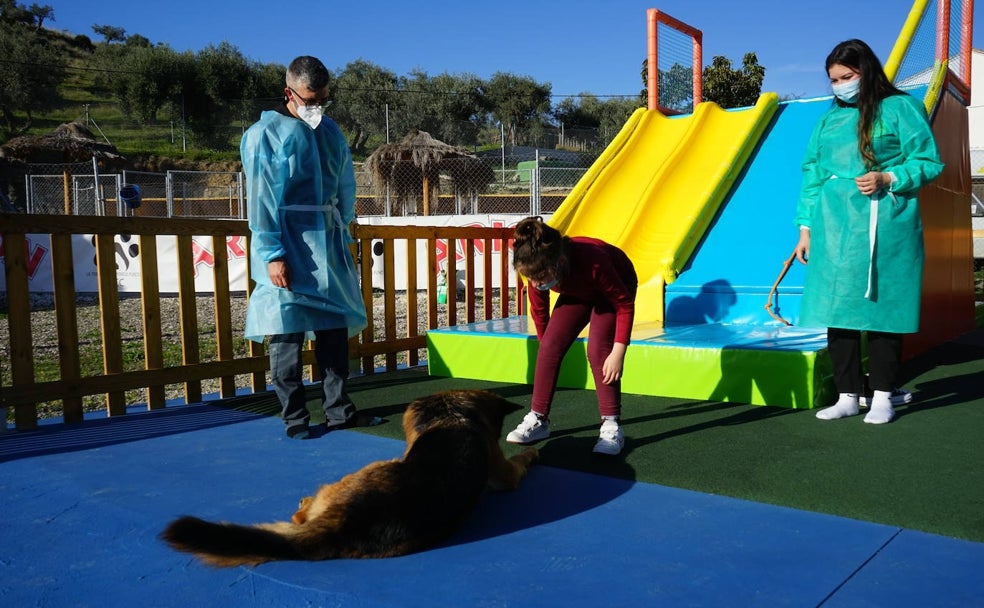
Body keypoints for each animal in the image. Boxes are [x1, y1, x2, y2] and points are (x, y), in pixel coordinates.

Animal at [160, 390, 540, 564]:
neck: (450, 416)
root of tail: (342, 524)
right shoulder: (504, 472)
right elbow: (520, 459)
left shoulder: (505, 475)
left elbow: (521, 459)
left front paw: (533, 452)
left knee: (300, 514)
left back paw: (304, 504)